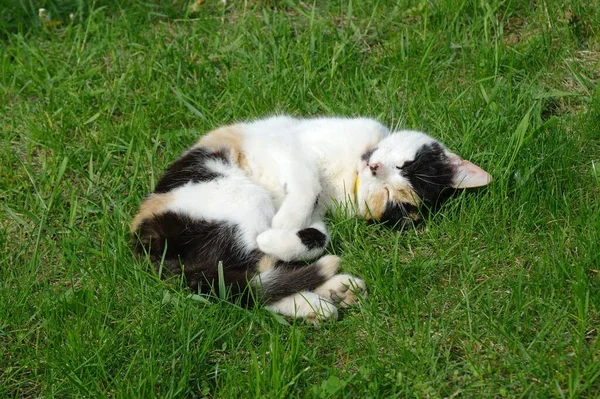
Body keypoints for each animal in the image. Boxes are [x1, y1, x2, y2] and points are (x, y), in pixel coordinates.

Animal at [129, 115, 490, 322]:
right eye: (406, 166)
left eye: (390, 197)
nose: (375, 168)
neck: (348, 173)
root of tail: (146, 240)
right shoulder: (291, 148)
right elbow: (307, 184)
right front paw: (283, 225)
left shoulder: (319, 214)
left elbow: (317, 231)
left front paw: (289, 234)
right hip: (234, 193)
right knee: (240, 280)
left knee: (245, 284)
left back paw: (328, 295)